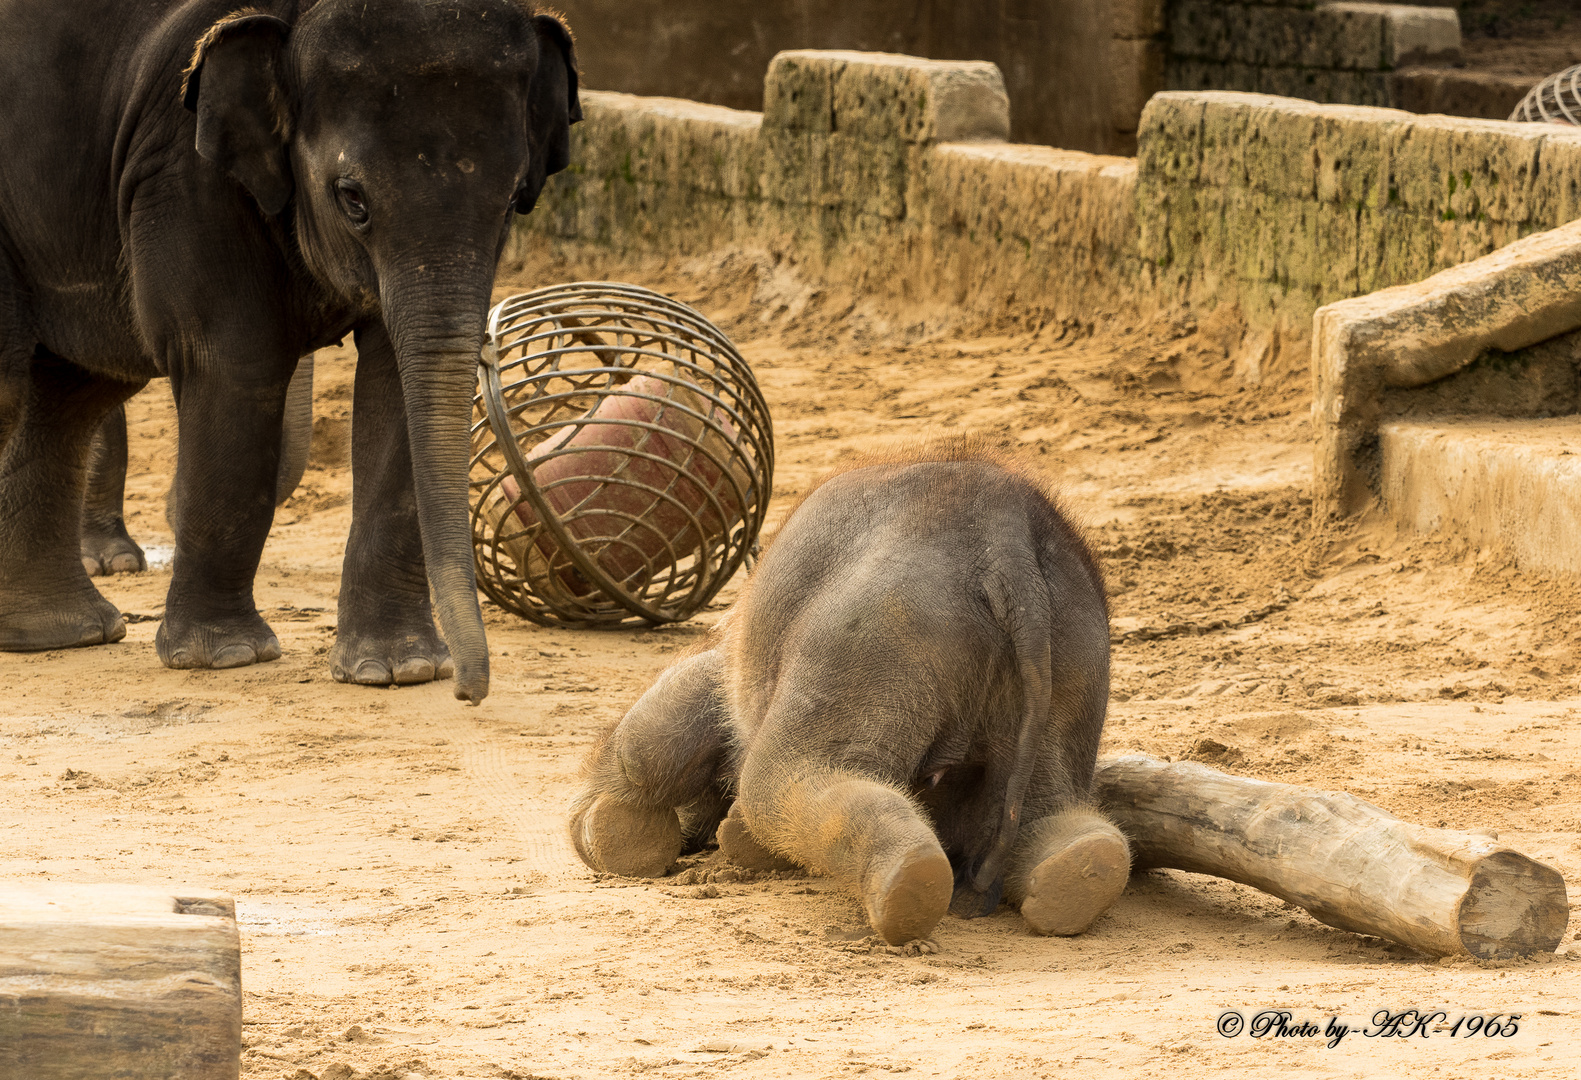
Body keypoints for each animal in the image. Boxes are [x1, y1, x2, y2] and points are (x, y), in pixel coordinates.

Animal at [0, 0, 581, 708]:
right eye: (353, 199)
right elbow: (235, 364)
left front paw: (401, 670)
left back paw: (61, 633)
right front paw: (224, 658)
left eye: (514, 199)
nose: (470, 693)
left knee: (71, 391)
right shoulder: (180, 171)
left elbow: (393, 380)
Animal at [575, 449, 1131, 948]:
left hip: (876, 631)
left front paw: (609, 837)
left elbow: (652, 739)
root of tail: (1006, 536)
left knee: (778, 779)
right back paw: (1079, 872)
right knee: (1046, 805)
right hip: (1075, 663)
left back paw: (905, 893)